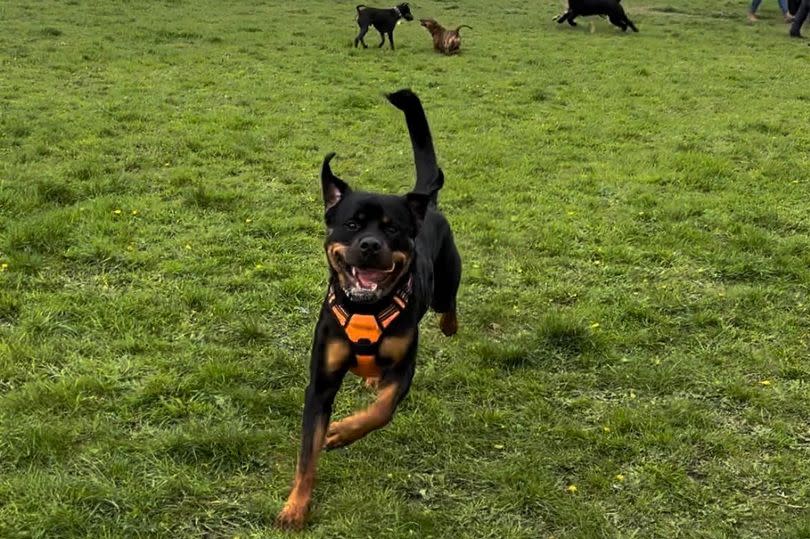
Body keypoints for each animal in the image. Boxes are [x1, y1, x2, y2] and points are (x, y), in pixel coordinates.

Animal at [274, 88, 458, 532]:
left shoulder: (405, 369)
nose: (371, 245)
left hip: (445, 283)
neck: (366, 308)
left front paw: (341, 432)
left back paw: (449, 325)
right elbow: (306, 455)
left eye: (392, 228)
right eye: (353, 225)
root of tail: (426, 204)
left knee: (448, 306)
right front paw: (295, 507)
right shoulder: (320, 383)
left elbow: (381, 411)